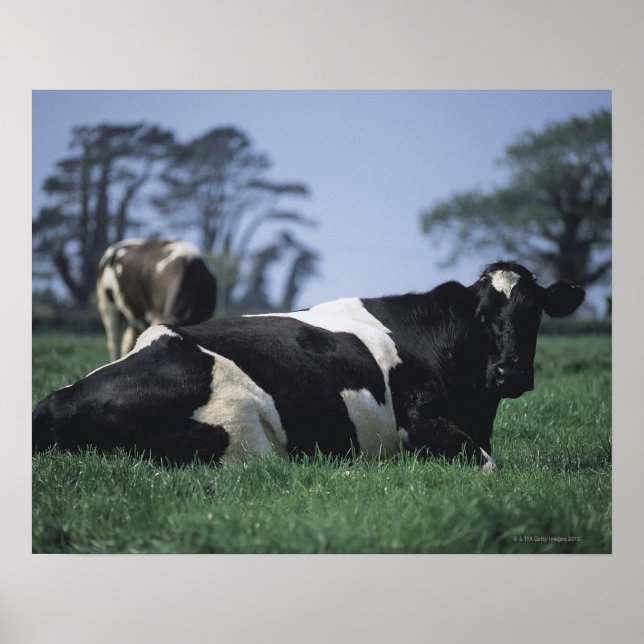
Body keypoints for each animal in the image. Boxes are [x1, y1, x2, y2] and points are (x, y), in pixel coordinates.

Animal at [33, 261, 584, 466]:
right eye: (481, 314)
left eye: (534, 313)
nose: (511, 373)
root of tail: (57, 398)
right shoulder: (416, 423)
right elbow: (489, 463)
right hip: (243, 433)